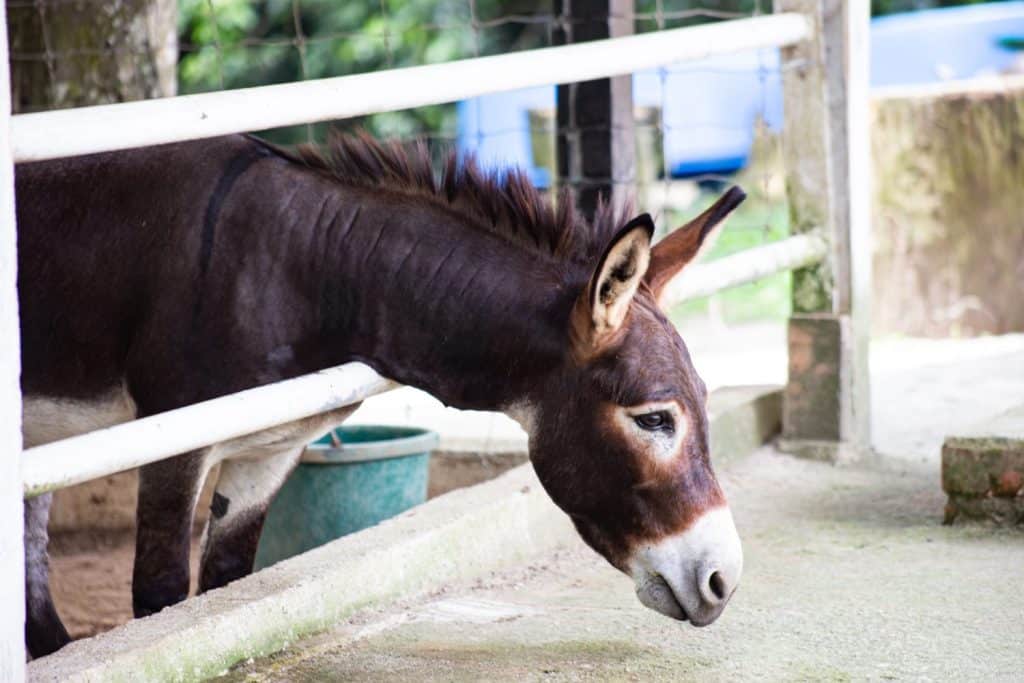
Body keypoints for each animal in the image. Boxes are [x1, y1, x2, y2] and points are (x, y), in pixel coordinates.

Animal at [15, 132, 745, 658]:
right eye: (654, 419)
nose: (724, 581)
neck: (303, 268)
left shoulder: (267, 455)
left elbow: (227, 587)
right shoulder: (174, 444)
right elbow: (164, 600)